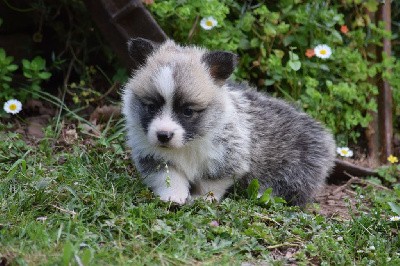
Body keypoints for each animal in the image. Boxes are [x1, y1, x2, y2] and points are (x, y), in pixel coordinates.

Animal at [123, 38, 336, 207]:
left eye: (188, 111)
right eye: (151, 107)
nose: (163, 135)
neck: (189, 145)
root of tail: (326, 137)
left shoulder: (228, 159)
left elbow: (211, 183)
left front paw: (203, 199)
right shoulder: (154, 157)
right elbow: (169, 177)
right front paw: (173, 197)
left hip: (301, 167)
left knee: (294, 190)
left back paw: (265, 196)